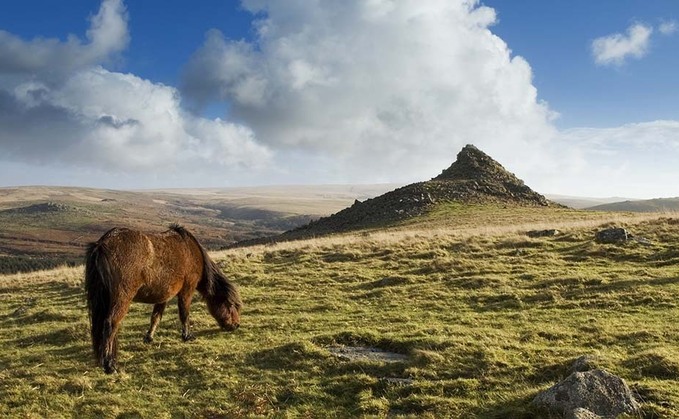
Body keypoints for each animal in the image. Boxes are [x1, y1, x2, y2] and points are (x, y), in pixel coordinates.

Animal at [86, 226, 242, 374]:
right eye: (231, 306)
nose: (236, 325)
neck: (192, 252)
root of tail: (102, 244)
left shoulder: (163, 296)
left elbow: (156, 317)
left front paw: (149, 337)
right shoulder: (187, 290)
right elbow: (184, 314)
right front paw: (187, 336)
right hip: (122, 298)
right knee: (111, 324)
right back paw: (110, 365)